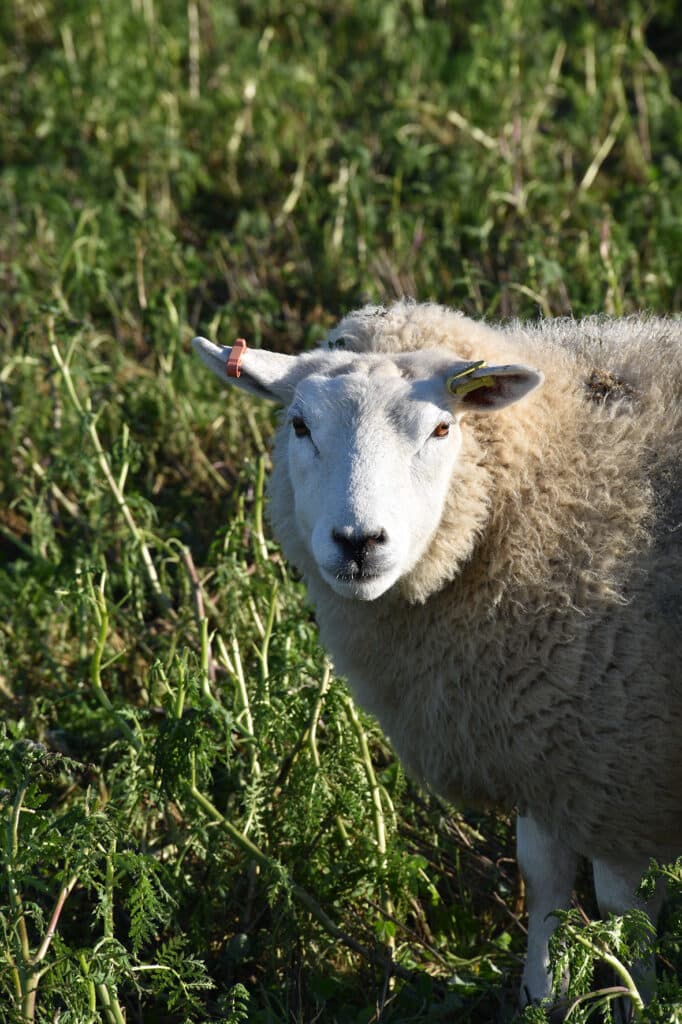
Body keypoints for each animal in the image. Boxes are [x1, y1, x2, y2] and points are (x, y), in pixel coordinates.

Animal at [192, 300, 681, 1016]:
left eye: (442, 427)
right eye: (300, 425)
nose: (358, 542)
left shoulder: (619, 767)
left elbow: (624, 906)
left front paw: (636, 1000)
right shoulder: (548, 747)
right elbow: (545, 877)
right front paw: (541, 998)